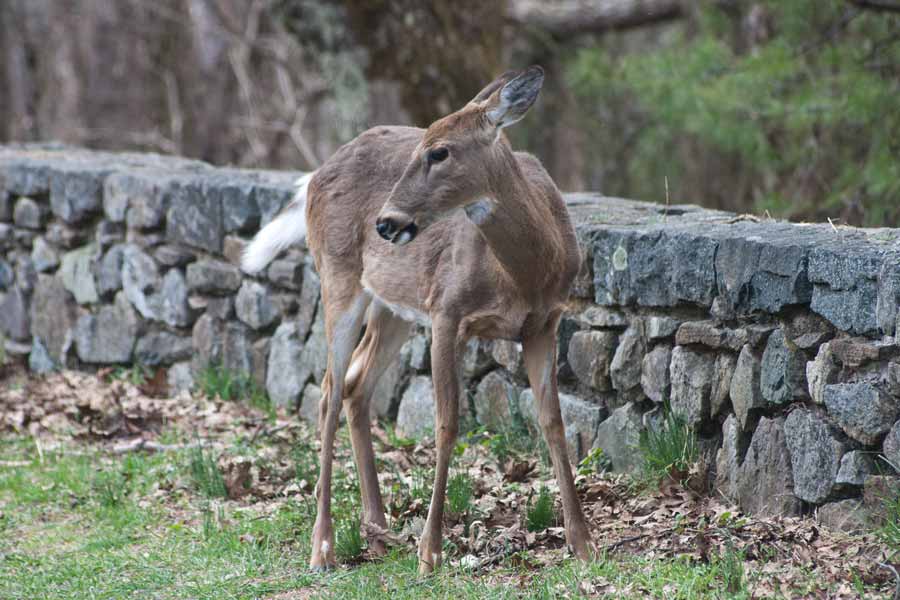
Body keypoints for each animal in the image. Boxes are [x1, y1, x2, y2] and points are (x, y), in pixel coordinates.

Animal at [242, 65, 594, 574]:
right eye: (419, 147)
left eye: (439, 151)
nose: (386, 222)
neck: (524, 273)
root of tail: (312, 177)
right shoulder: (447, 311)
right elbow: (446, 424)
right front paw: (430, 551)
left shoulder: (544, 322)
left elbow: (553, 421)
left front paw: (582, 543)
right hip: (339, 276)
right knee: (328, 390)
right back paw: (323, 546)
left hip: (393, 306)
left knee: (356, 385)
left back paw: (376, 526)